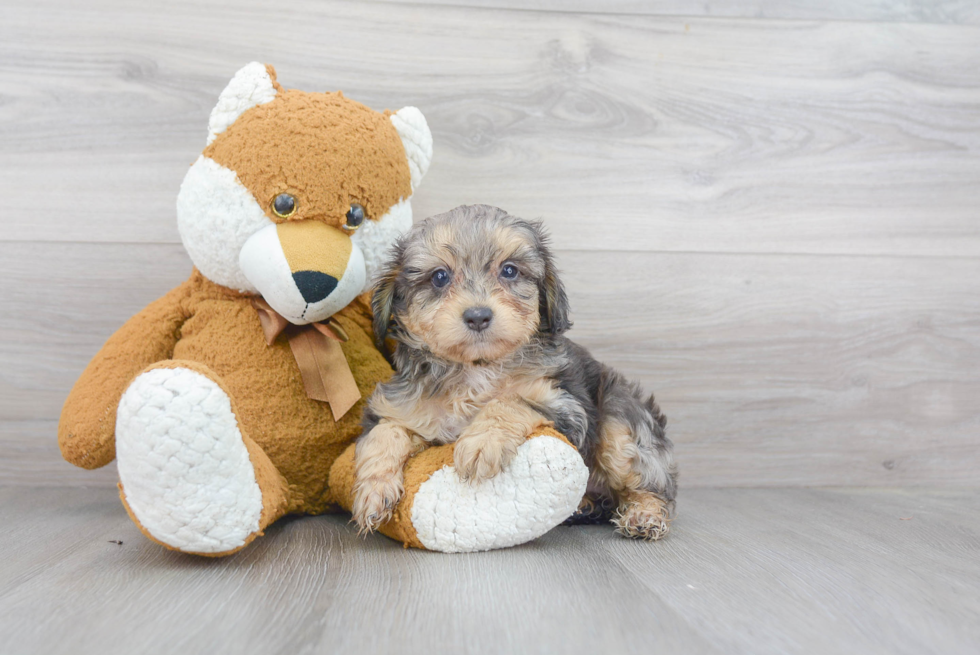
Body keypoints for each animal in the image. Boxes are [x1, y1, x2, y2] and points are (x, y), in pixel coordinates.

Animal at [354, 206, 680, 544]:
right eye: (439, 277)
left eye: (509, 271)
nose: (478, 316)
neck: (477, 368)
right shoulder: (402, 409)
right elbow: (385, 433)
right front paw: (373, 491)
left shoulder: (566, 406)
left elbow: (510, 401)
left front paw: (483, 441)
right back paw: (584, 506)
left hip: (621, 422)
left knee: (651, 483)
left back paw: (644, 515)